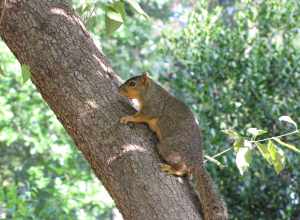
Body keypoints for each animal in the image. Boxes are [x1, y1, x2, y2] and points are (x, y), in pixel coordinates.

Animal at [118, 73, 229, 219]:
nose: (119, 89)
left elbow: (140, 116)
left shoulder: (153, 107)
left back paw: (172, 169)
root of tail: (196, 160)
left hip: (167, 147)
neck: (150, 92)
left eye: (132, 84)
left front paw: (128, 117)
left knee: (181, 167)